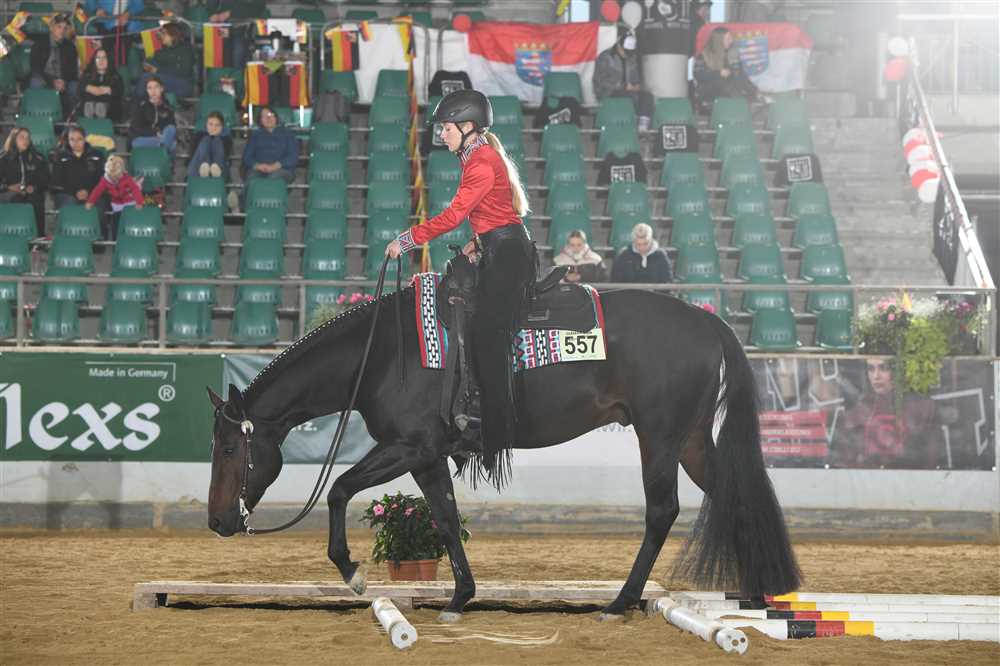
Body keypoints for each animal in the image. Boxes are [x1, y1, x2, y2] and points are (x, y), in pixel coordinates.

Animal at [206, 282, 801, 621]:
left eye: (231, 447)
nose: (216, 521)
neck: (384, 354)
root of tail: (705, 318)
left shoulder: (408, 446)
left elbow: (338, 489)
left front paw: (352, 572)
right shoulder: (427, 457)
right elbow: (445, 519)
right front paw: (459, 597)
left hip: (659, 436)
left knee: (662, 512)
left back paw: (620, 602)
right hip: (692, 439)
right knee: (734, 494)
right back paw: (756, 594)